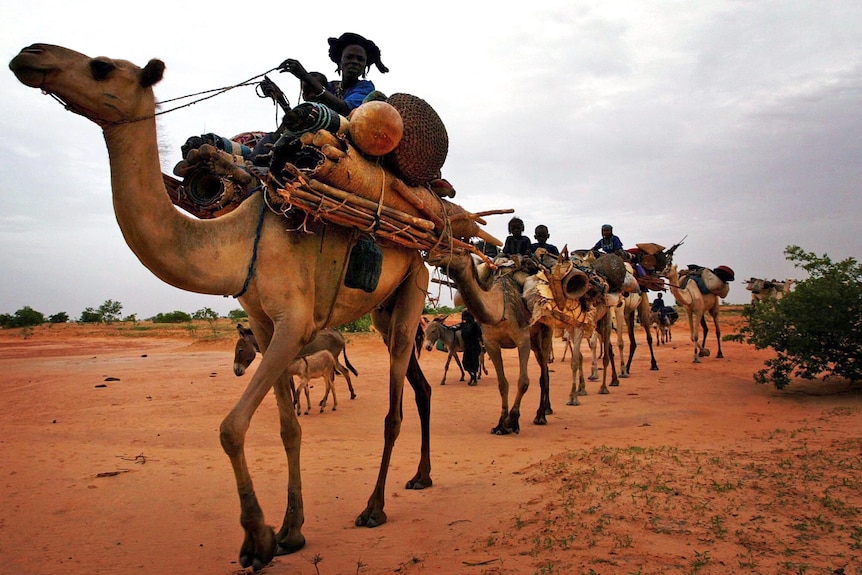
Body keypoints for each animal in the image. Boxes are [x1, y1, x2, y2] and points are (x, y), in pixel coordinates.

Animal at [10, 44, 436, 572]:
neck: (239, 240)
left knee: (394, 406)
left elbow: (231, 428)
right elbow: (288, 428)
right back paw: (421, 476)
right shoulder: (262, 323)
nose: (30, 55)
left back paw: (374, 508)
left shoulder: (294, 323)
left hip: (414, 283)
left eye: (101, 67)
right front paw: (291, 531)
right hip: (383, 307)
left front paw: (257, 539)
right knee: (418, 384)